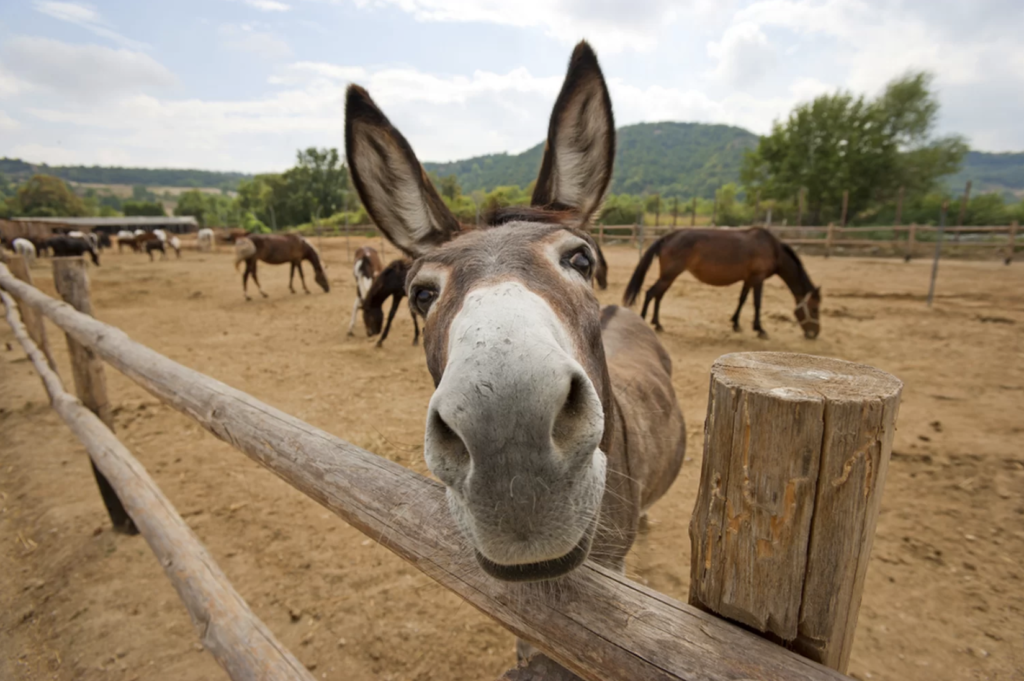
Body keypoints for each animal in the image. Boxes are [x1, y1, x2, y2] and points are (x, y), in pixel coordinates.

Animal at [623, 227, 822, 339]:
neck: (773, 249)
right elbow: (757, 303)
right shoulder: (758, 279)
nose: (814, 334)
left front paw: (736, 324)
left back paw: (658, 324)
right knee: (650, 293)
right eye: (814, 309)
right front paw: (760, 329)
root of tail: (667, 237)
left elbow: (742, 300)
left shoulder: (748, 279)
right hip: (669, 275)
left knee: (658, 295)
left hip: (669, 276)